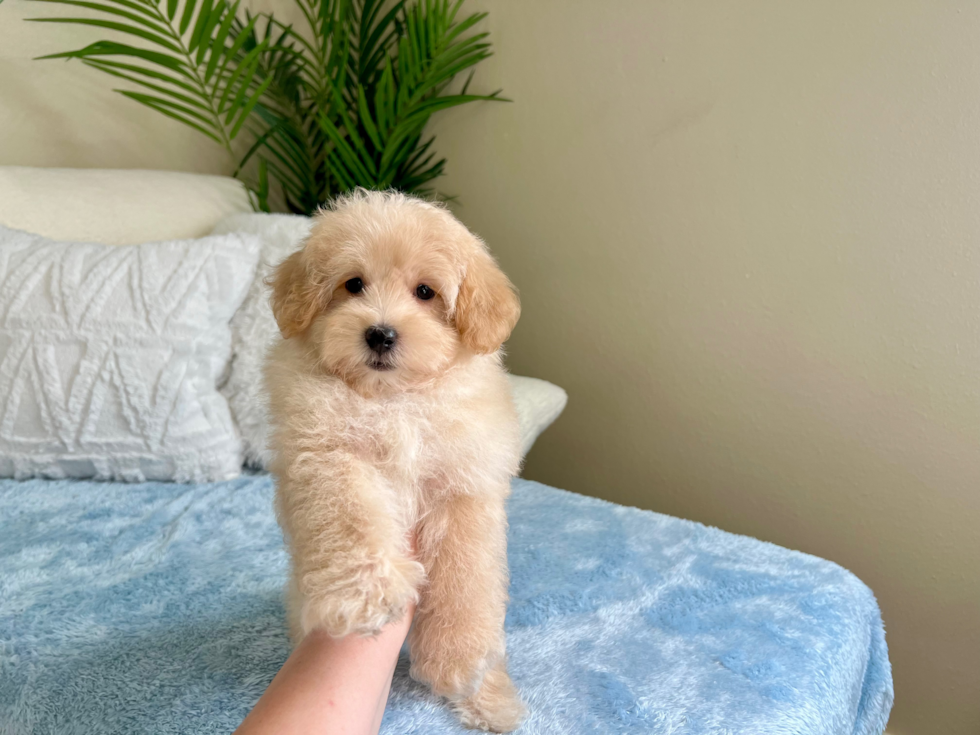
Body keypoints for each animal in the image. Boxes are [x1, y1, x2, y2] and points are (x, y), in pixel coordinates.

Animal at [264, 188, 528, 732]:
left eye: (425, 292)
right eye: (353, 284)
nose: (380, 334)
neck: (392, 400)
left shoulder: (465, 484)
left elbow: (466, 572)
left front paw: (456, 656)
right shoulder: (324, 453)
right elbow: (348, 515)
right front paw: (366, 594)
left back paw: (490, 698)